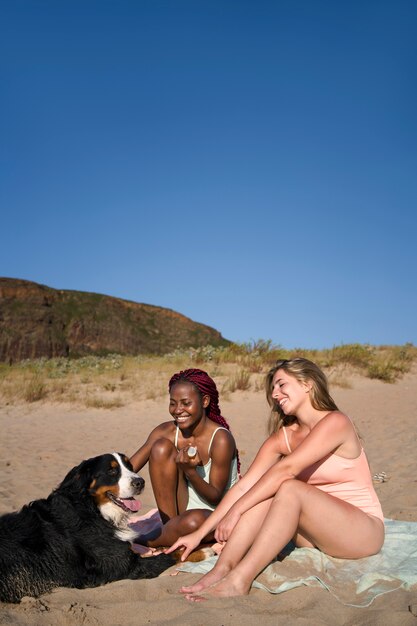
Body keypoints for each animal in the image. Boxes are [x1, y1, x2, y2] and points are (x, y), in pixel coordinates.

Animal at [0, 450, 176, 604]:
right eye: (112, 471)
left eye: (130, 466)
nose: (140, 482)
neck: (92, 509)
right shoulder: (125, 564)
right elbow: (171, 555)